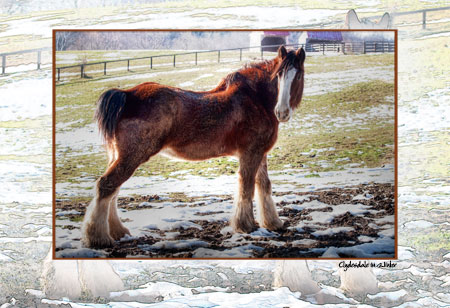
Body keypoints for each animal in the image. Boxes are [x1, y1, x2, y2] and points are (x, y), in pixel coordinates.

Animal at [81, 45, 306, 248]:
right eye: (279, 75)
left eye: (298, 76)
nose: (282, 112)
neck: (256, 99)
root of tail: (126, 94)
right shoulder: (250, 153)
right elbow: (246, 187)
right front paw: (246, 226)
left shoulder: (260, 153)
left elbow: (264, 185)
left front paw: (273, 222)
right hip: (132, 156)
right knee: (107, 185)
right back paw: (98, 238)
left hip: (120, 156)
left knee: (113, 191)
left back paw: (118, 232)